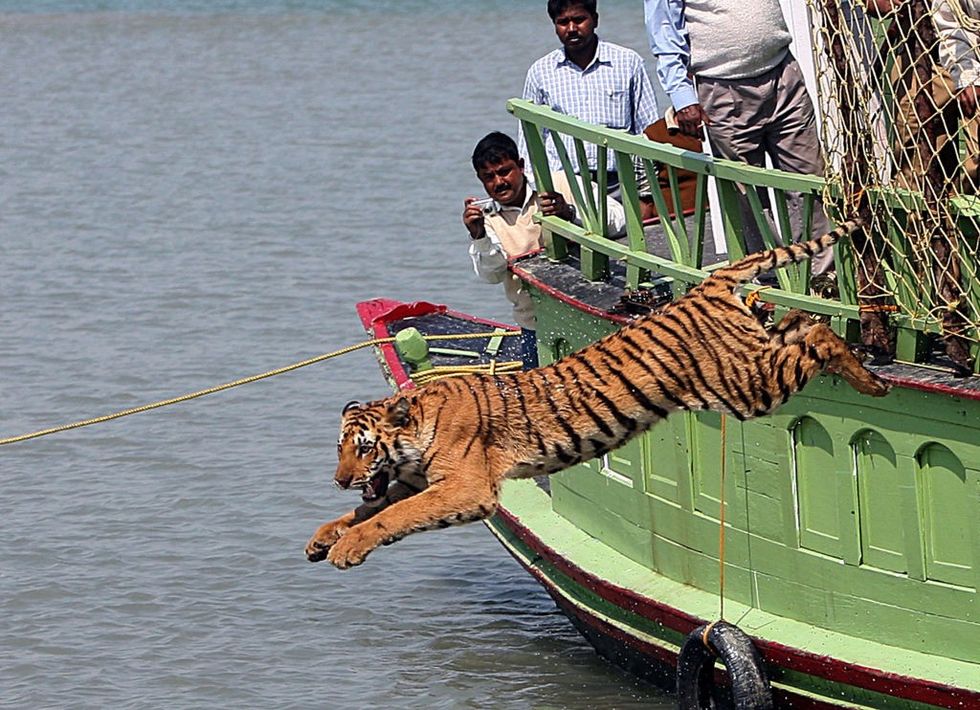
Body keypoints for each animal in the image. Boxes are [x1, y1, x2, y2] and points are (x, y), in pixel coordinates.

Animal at [306, 219, 889, 569]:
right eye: (339, 448)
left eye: (362, 448)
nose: (338, 480)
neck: (416, 431)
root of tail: (708, 281)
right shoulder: (418, 481)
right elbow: (367, 510)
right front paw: (324, 536)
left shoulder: (465, 490)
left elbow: (391, 516)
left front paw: (347, 548)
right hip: (751, 362)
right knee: (798, 321)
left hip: (747, 387)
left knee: (815, 333)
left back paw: (874, 381)